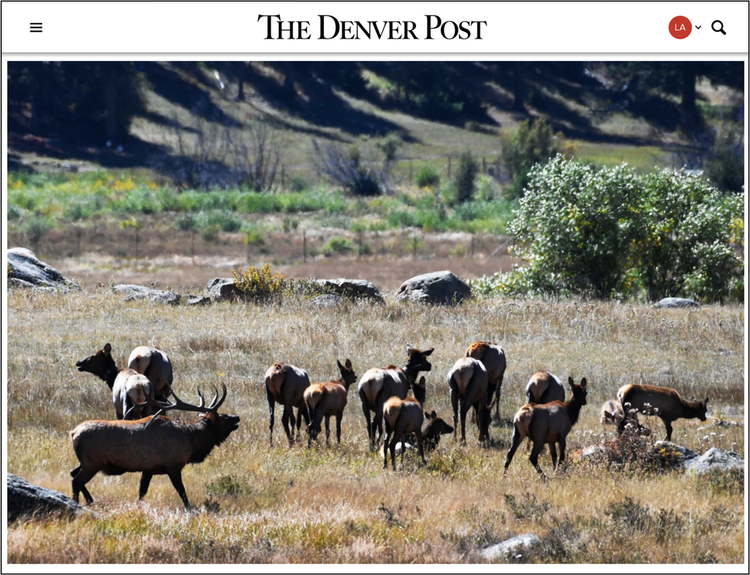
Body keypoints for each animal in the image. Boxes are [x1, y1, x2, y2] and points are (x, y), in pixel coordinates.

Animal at [70, 384, 241, 510]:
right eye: (223, 417)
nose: (237, 417)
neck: (191, 442)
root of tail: (73, 433)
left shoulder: (148, 469)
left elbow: (142, 492)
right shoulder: (173, 466)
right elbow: (182, 492)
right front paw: (189, 508)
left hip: (86, 462)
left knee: (73, 473)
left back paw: (89, 500)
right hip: (92, 462)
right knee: (76, 480)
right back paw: (79, 502)